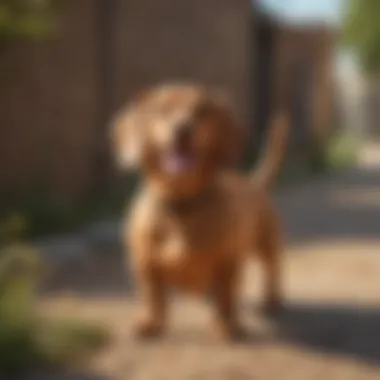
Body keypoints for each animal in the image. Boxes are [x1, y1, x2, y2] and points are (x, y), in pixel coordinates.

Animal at [111, 84, 286, 342]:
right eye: (162, 109)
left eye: (202, 110)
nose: (183, 129)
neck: (183, 204)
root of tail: (254, 183)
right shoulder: (145, 264)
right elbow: (153, 297)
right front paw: (150, 323)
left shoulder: (228, 263)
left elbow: (226, 298)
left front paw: (226, 326)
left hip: (267, 243)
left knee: (272, 268)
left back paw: (272, 300)